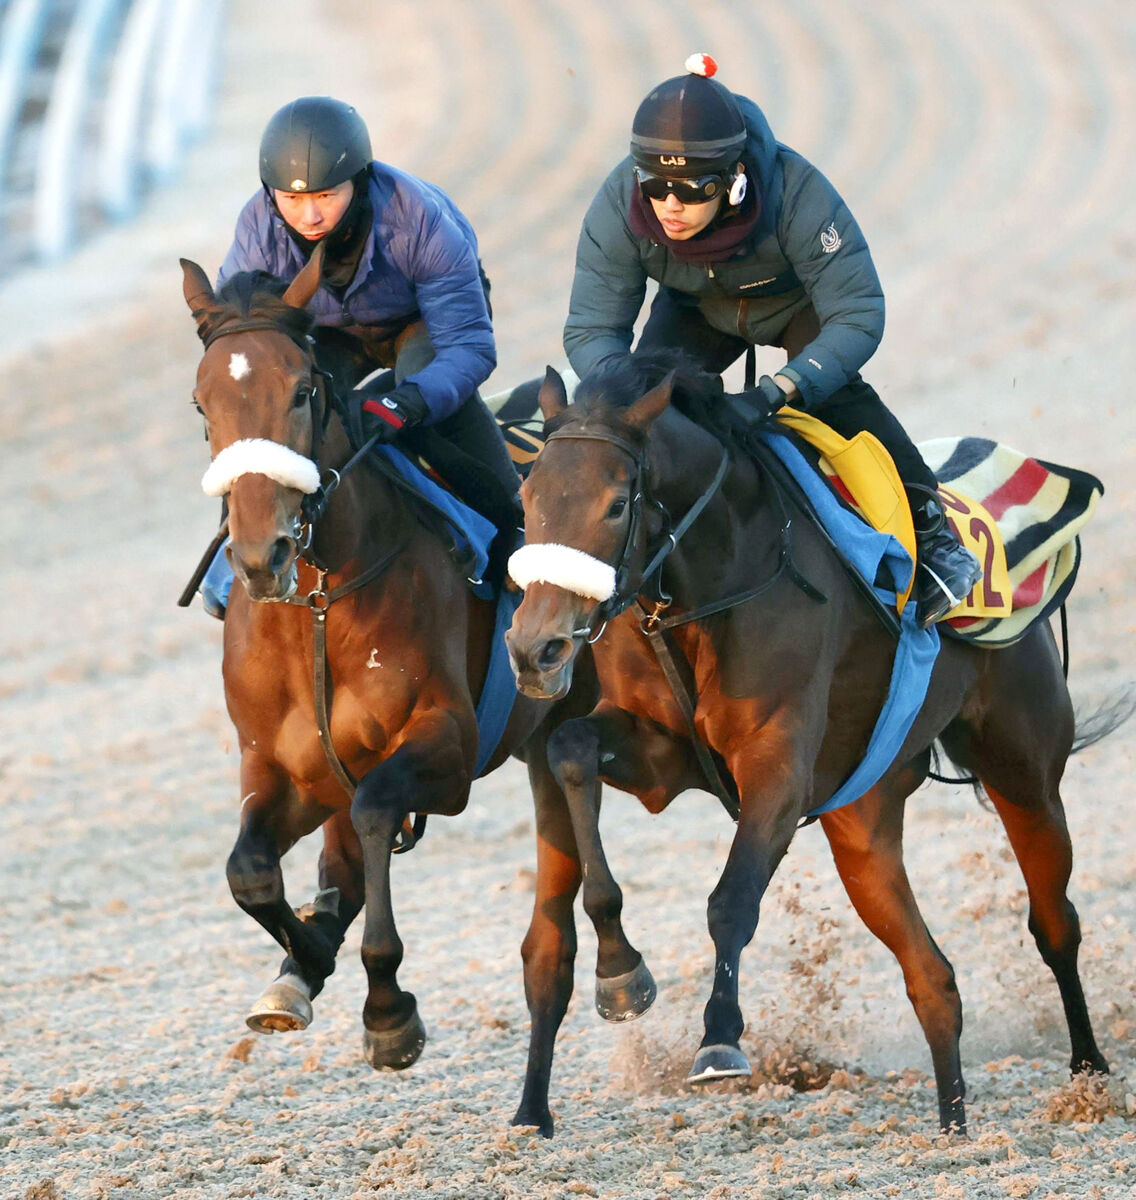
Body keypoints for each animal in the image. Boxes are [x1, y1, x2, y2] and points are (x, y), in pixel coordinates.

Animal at [178, 250, 594, 1070]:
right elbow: (250, 872)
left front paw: (387, 1007)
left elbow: (375, 812)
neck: (317, 604)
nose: (261, 554)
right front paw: (304, 960)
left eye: (302, 391)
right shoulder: (284, 768)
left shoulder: (448, 747)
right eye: (204, 406)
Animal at [501, 355, 1113, 1132]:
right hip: (863, 824)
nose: (535, 649)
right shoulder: (660, 752)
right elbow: (571, 747)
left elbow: (731, 900)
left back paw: (1089, 1074)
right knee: (933, 977)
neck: (710, 585)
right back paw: (953, 1124)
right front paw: (618, 970)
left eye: (615, 505)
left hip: (1022, 770)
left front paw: (720, 1039)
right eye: (527, 496)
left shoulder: (778, 770)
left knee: (1054, 922)